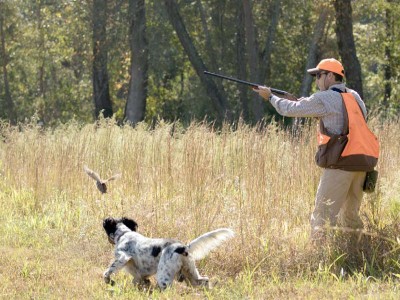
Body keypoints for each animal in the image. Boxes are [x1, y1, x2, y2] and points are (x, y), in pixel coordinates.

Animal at [103, 217, 234, 290]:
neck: (124, 234)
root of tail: (183, 247)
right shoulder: (139, 275)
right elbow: (140, 281)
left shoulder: (123, 257)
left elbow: (106, 273)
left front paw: (110, 281)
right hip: (190, 273)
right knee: (204, 280)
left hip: (164, 277)